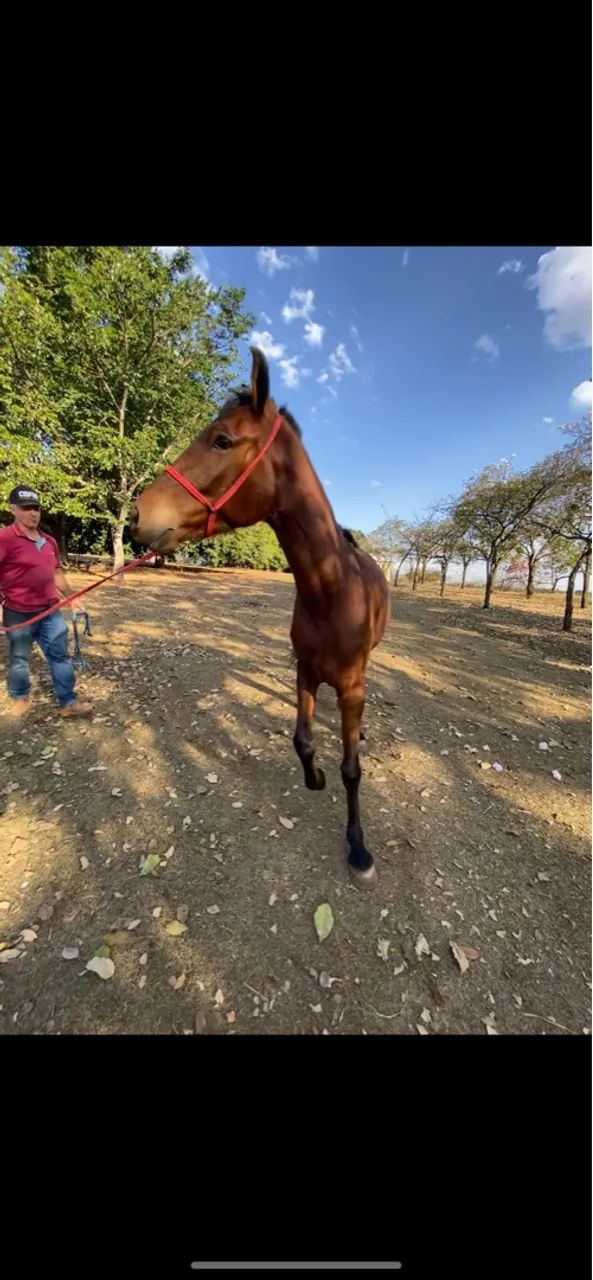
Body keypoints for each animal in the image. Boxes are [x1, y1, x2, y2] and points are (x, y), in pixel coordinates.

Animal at [129, 348, 390, 887]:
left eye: (222, 440)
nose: (138, 514)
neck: (330, 591)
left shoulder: (350, 685)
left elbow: (353, 769)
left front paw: (359, 849)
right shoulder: (305, 673)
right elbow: (303, 741)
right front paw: (315, 778)